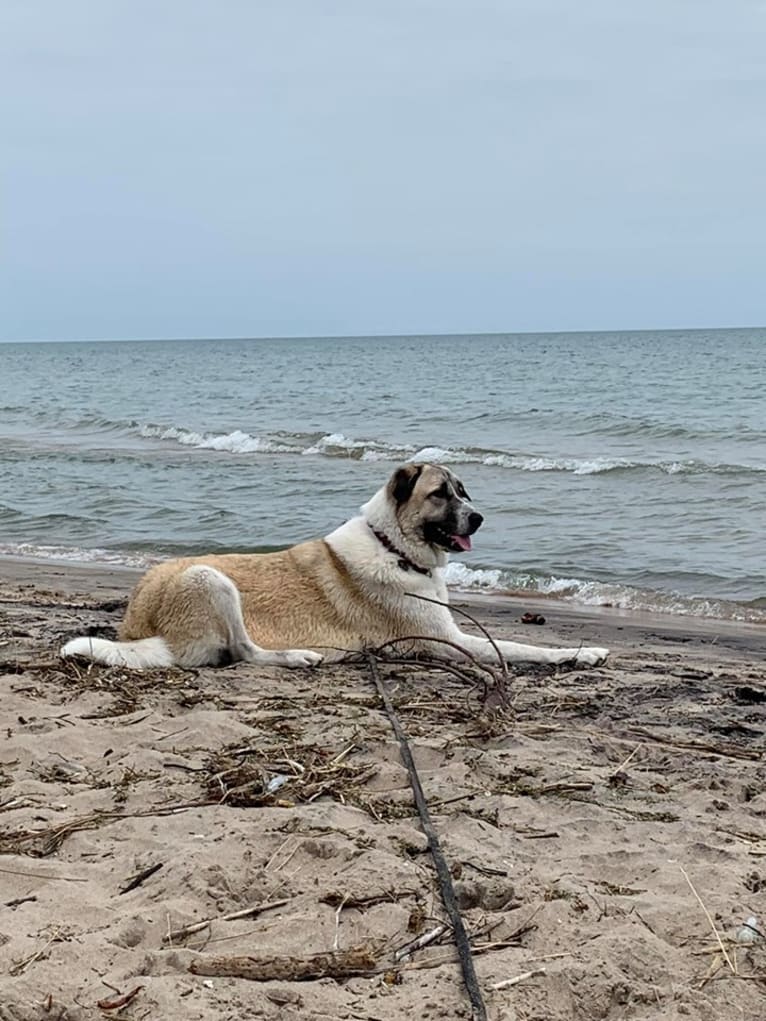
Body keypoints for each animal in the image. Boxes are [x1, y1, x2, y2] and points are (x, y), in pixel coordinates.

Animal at [61, 467, 612, 673]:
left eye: (463, 490)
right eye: (440, 493)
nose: (478, 517)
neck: (393, 546)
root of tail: (138, 624)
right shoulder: (446, 640)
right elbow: (521, 646)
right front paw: (582, 652)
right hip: (209, 579)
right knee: (243, 652)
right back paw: (300, 656)